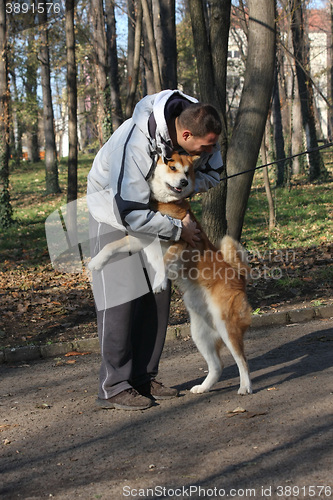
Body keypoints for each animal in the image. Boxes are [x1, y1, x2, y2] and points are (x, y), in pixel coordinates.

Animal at [88, 152, 252, 394]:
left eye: (187, 172)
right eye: (173, 167)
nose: (183, 182)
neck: (162, 204)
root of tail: (238, 275)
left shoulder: (182, 241)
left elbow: (164, 262)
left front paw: (159, 282)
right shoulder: (139, 239)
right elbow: (111, 246)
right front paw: (97, 262)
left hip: (227, 326)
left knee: (242, 359)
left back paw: (245, 386)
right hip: (199, 332)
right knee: (217, 365)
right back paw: (203, 388)